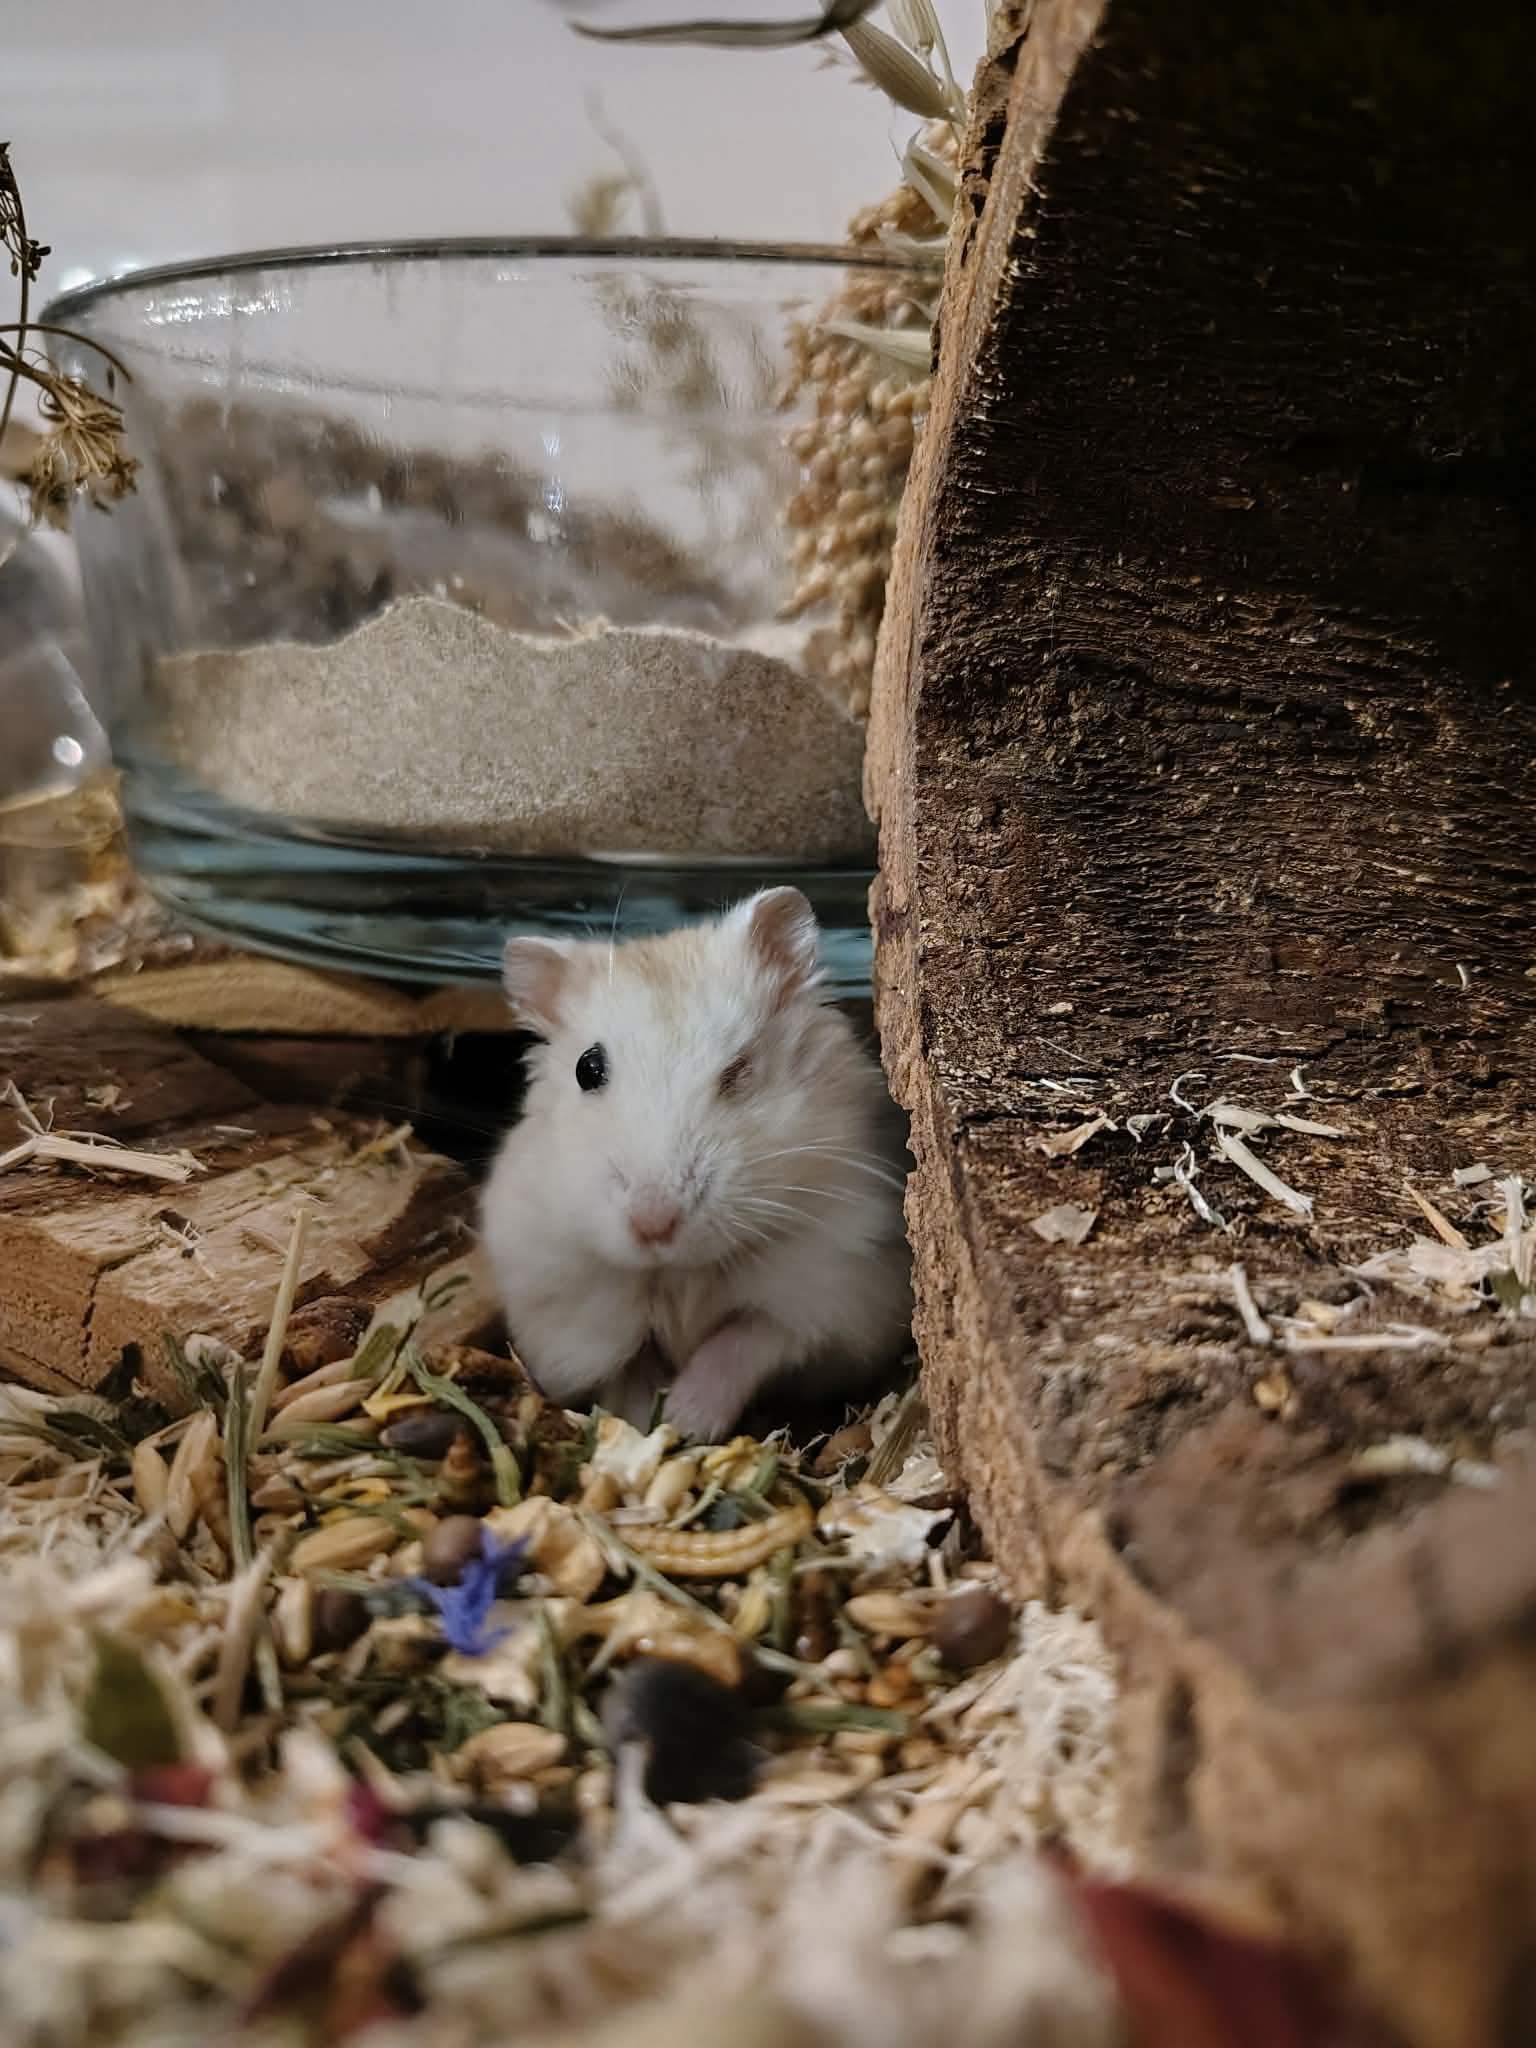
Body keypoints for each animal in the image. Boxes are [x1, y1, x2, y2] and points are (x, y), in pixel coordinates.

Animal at [478, 887, 912, 1443]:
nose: (654, 1225)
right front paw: (645, 1426)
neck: (682, 1272)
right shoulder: (572, 1310)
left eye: (739, 1069)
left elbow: (746, 1340)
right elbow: (629, 1369)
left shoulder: (835, 1291)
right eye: (587, 1068)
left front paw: (686, 1421)